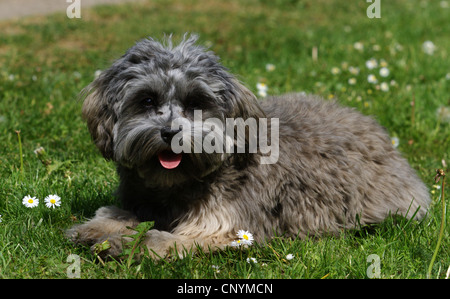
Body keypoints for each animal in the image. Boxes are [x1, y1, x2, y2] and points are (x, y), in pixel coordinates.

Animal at [66, 34, 428, 260]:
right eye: (147, 100)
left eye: (196, 102)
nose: (170, 133)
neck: (177, 186)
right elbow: (117, 213)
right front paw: (95, 229)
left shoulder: (224, 229)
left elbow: (160, 238)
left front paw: (126, 244)